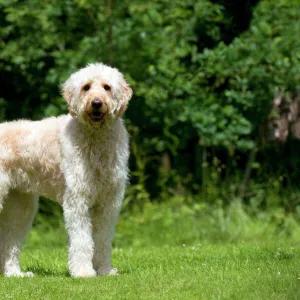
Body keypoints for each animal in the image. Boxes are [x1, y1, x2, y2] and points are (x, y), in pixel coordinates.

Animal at [0, 62, 132, 276]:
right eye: (86, 87)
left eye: (107, 87)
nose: (96, 103)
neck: (96, 137)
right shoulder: (77, 200)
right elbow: (82, 240)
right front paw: (84, 272)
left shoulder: (108, 202)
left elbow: (103, 240)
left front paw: (104, 270)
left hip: (20, 207)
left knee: (9, 242)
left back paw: (16, 274)